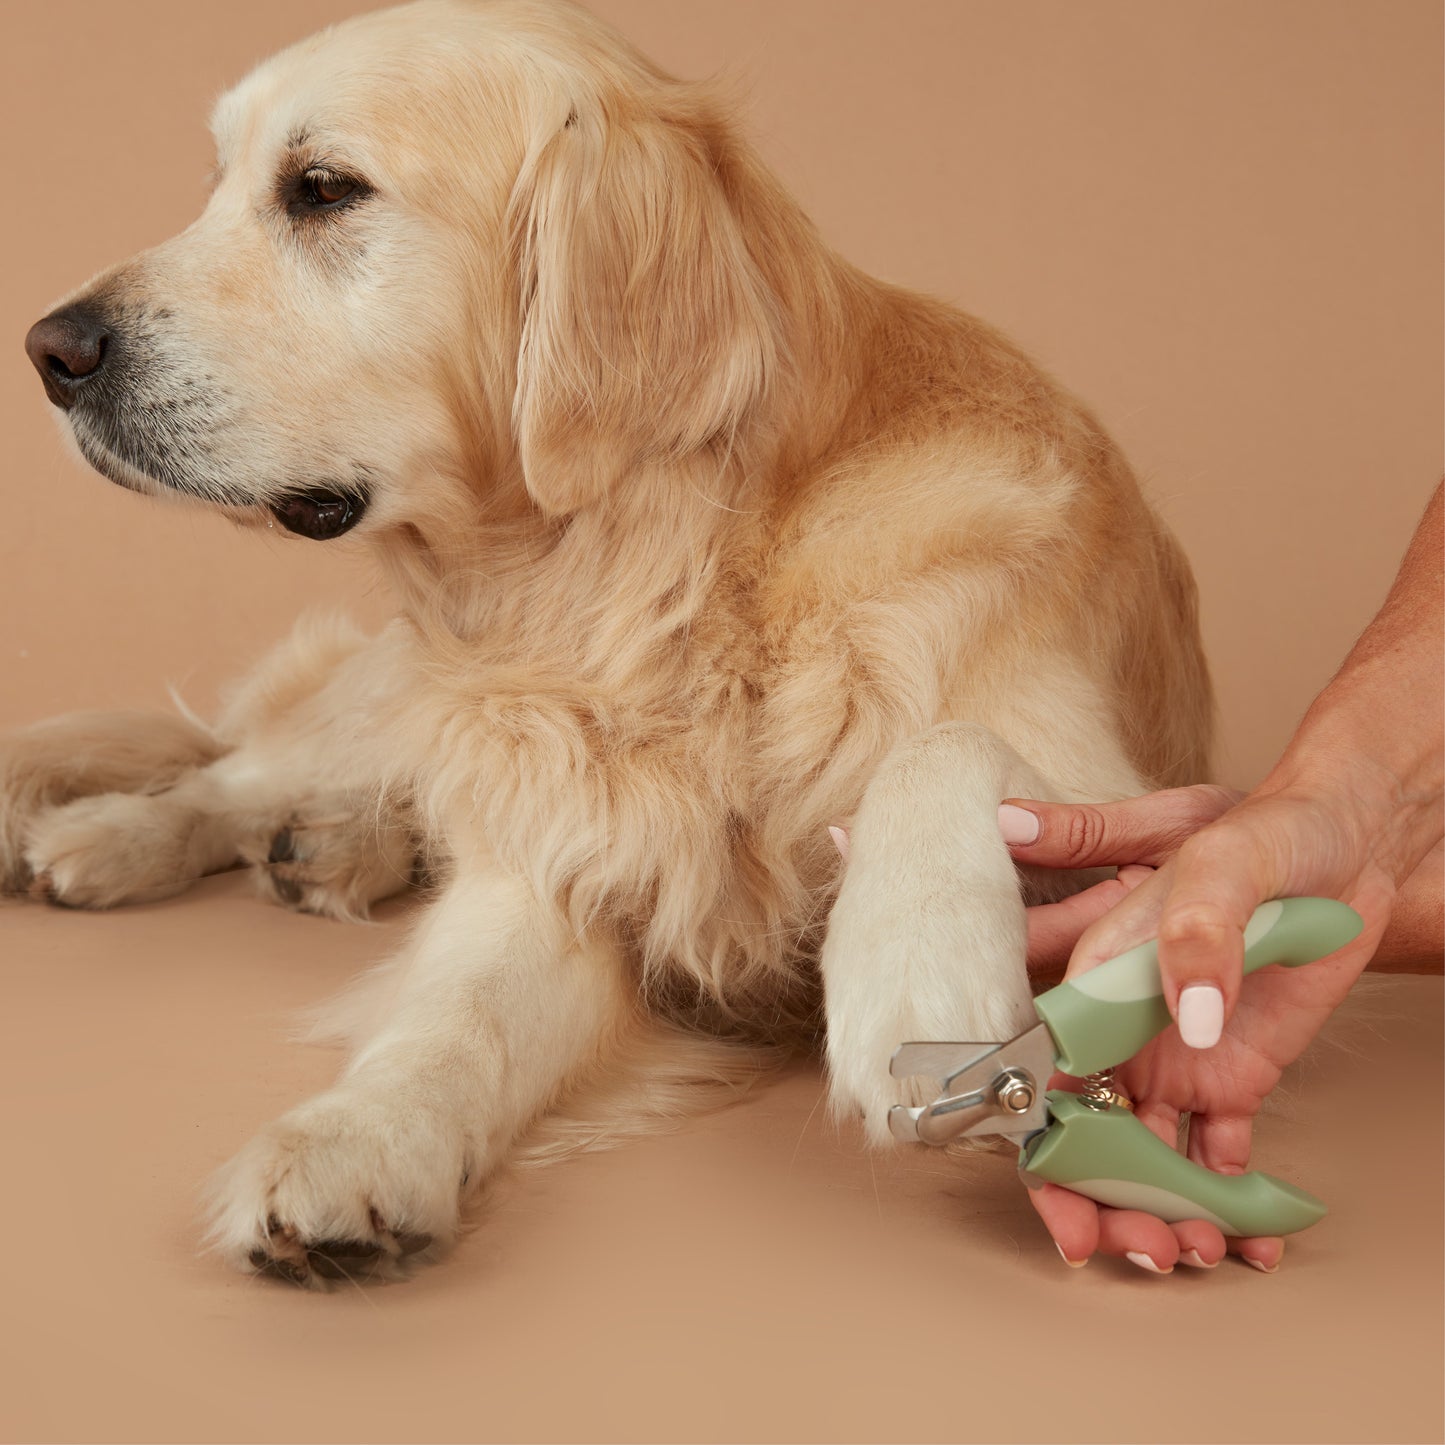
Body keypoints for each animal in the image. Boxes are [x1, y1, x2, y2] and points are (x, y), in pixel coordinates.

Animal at [8, 0, 1208, 1288]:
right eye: (216, 186)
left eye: (321, 189)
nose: (47, 350)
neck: (668, 574)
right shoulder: (564, 846)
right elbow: (455, 1014)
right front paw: (360, 1134)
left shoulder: (1136, 790)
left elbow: (945, 743)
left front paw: (913, 962)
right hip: (390, 702)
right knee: (232, 771)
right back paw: (109, 837)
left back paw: (326, 849)